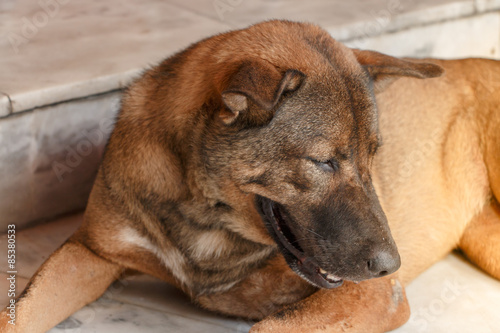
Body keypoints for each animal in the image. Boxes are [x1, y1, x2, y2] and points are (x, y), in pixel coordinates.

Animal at [0, 20, 500, 332]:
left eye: (374, 156)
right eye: (324, 162)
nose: (389, 264)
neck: (206, 215)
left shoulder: (373, 296)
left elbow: (269, 328)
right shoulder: (90, 252)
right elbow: (19, 311)